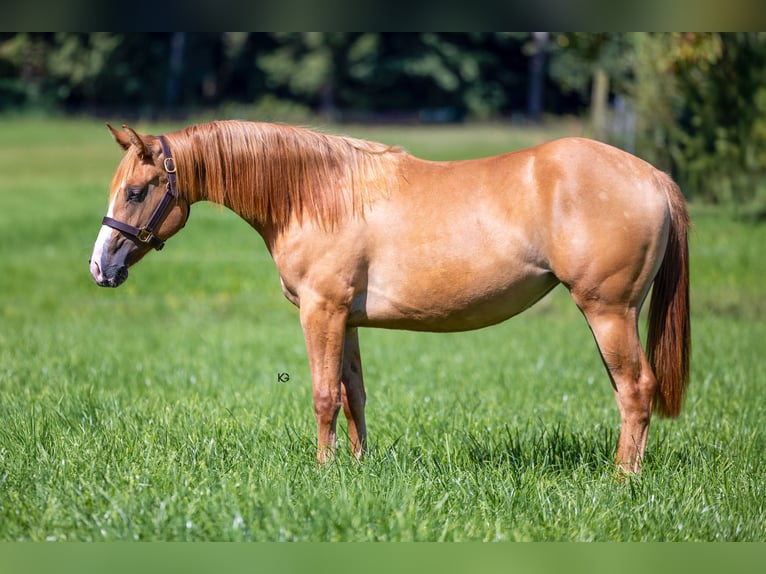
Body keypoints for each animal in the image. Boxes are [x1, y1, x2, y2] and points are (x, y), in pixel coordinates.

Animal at [89, 120, 690, 474]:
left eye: (137, 191)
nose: (100, 267)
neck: (318, 192)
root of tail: (653, 176)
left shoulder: (322, 311)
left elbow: (323, 396)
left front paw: (324, 471)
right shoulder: (348, 319)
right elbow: (353, 395)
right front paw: (356, 468)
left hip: (608, 311)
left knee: (636, 390)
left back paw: (622, 480)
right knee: (628, 392)